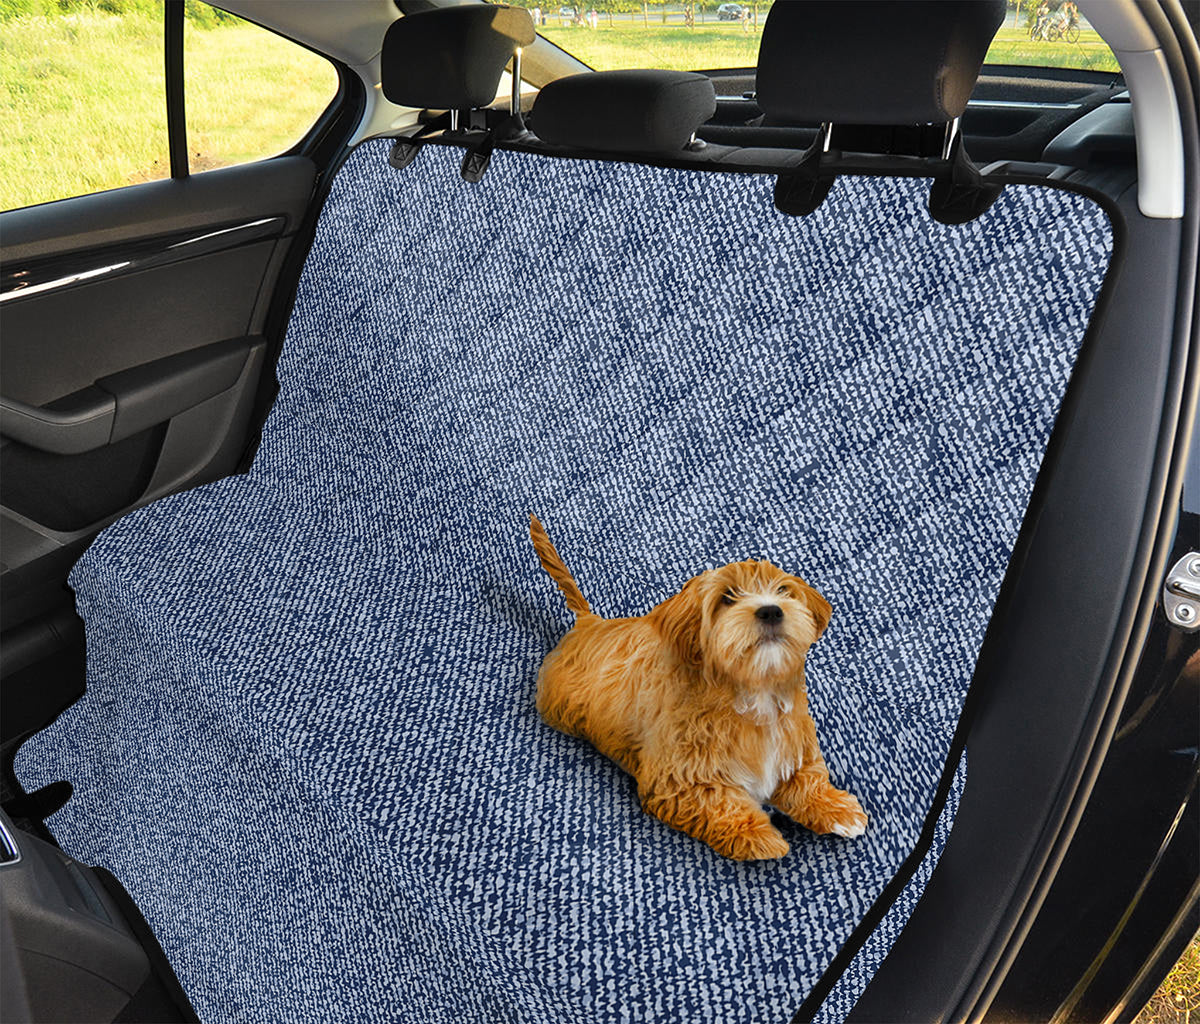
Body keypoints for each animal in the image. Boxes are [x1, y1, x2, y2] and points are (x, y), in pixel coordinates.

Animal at [532, 516, 864, 859]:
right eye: (727, 598)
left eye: (784, 590)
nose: (772, 610)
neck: (753, 695)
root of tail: (589, 623)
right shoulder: (676, 780)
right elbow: (717, 802)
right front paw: (756, 835)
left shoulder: (792, 747)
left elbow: (808, 778)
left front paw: (837, 809)